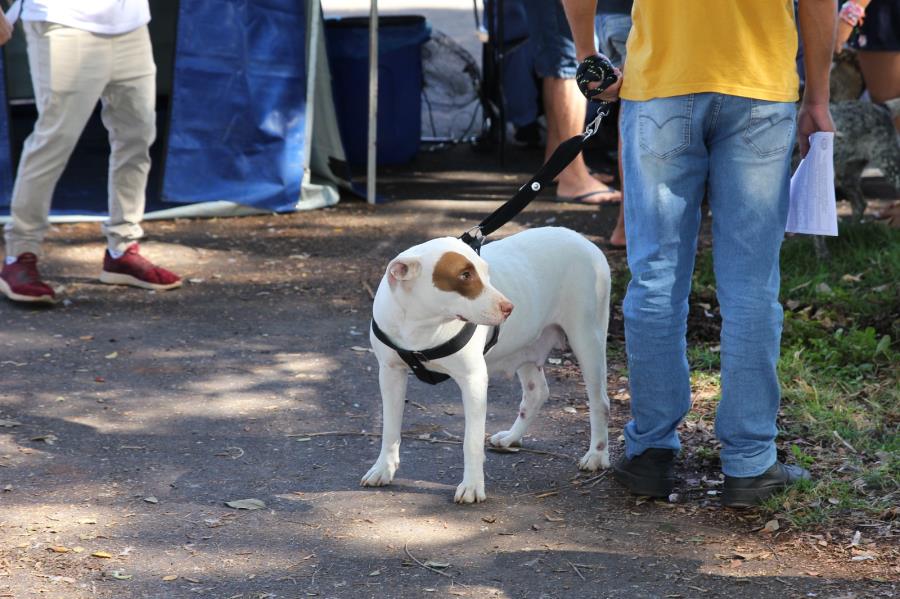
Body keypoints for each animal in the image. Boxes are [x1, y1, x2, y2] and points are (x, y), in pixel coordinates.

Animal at [358, 227, 612, 504]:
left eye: (485, 271)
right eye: (465, 275)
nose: (509, 308)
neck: (420, 324)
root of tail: (582, 239)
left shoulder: (473, 380)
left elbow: (471, 440)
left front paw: (471, 486)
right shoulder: (390, 374)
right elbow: (390, 427)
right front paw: (383, 468)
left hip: (588, 339)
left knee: (600, 402)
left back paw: (597, 455)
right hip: (526, 343)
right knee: (537, 393)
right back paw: (512, 437)